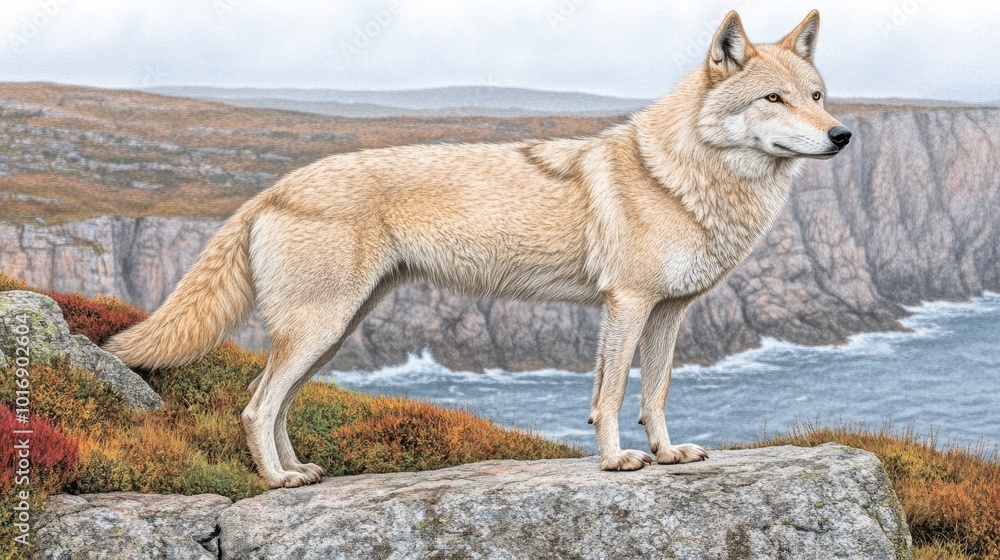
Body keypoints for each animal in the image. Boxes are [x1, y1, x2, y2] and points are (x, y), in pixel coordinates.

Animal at [104, 10, 851, 488]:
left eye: (817, 96)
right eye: (775, 99)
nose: (842, 135)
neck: (683, 177)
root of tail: (272, 188)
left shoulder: (668, 314)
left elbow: (656, 395)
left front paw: (667, 455)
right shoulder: (627, 305)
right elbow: (610, 396)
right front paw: (616, 463)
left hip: (333, 334)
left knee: (273, 404)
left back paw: (297, 472)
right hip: (320, 329)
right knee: (257, 406)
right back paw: (276, 483)